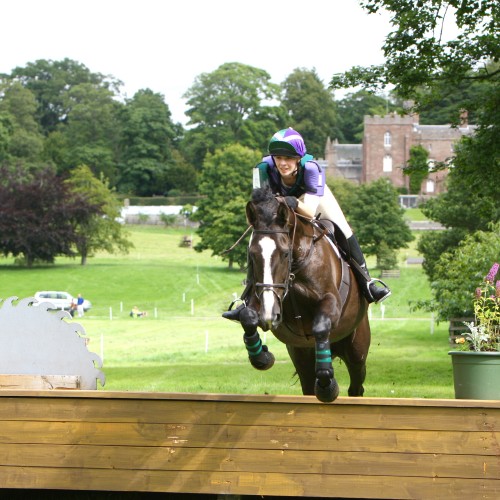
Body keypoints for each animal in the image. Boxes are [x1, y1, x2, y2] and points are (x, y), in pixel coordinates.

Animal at [235, 188, 372, 402]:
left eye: (285, 253)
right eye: (252, 254)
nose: (269, 314)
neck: (295, 270)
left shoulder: (331, 301)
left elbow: (321, 327)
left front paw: (327, 385)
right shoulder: (264, 297)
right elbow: (247, 316)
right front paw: (262, 357)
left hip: (357, 349)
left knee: (356, 386)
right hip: (300, 354)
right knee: (308, 385)